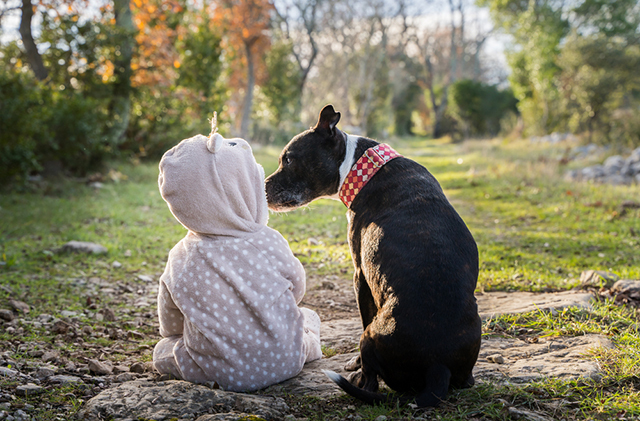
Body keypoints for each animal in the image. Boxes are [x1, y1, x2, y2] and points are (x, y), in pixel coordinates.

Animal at [262, 103, 480, 406]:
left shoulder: (360, 277)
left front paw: (354, 363)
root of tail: (438, 369)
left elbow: (364, 316)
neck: (362, 167)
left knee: (371, 381)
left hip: (370, 336)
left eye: (289, 160)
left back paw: (359, 377)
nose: (262, 185)